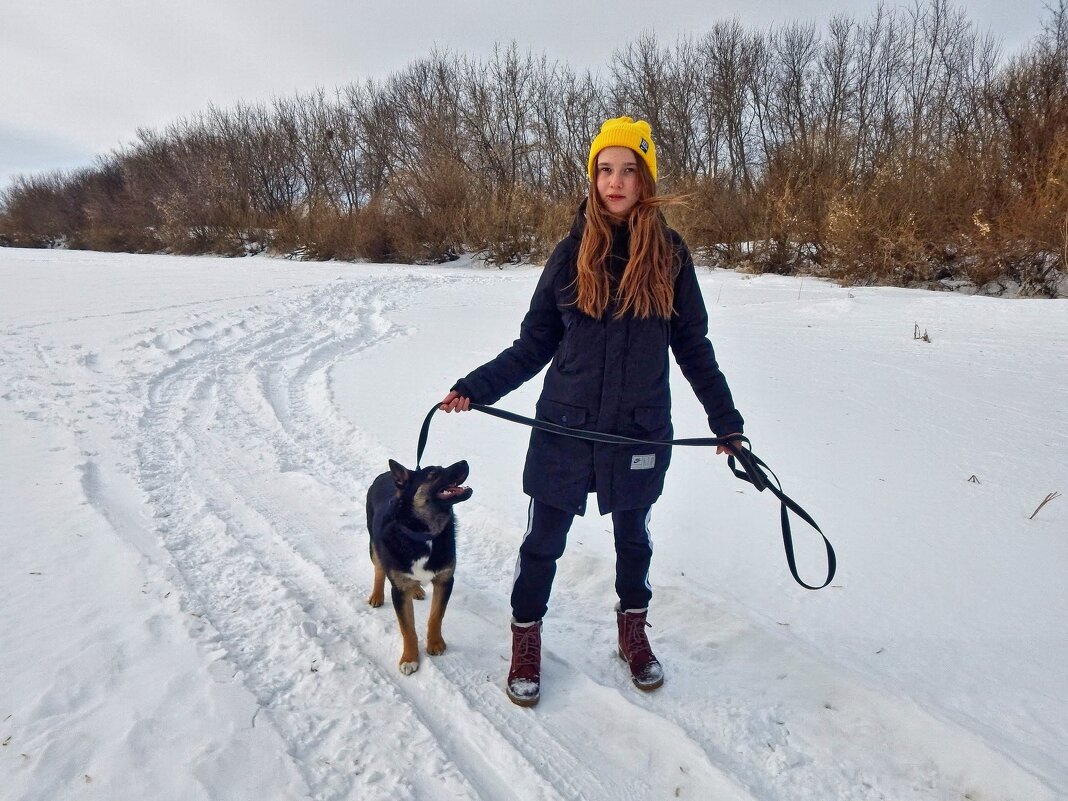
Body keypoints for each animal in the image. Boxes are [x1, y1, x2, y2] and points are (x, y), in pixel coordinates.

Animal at [367, 461, 472, 674]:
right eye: (433, 473)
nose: (465, 462)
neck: (425, 534)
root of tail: (385, 475)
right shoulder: (398, 591)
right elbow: (408, 628)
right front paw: (409, 658)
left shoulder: (445, 580)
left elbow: (436, 616)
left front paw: (435, 643)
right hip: (374, 545)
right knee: (379, 569)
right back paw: (377, 595)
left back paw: (415, 589)